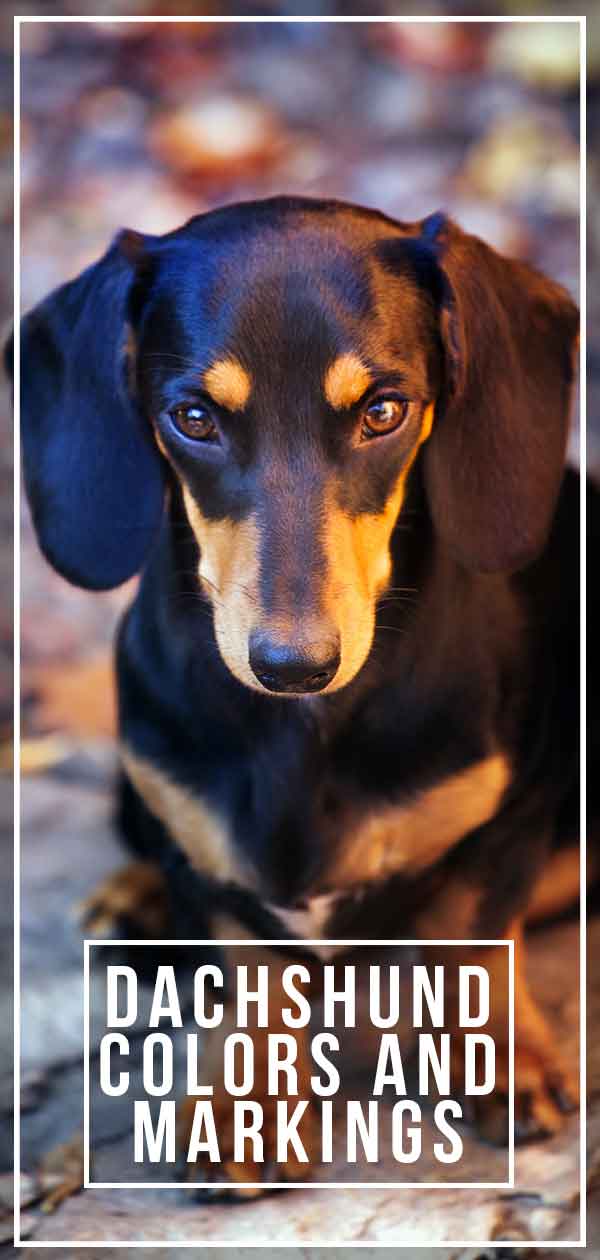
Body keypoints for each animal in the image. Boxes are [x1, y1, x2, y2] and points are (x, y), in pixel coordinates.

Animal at [16, 196, 592, 1189]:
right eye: (194, 417)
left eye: (384, 411)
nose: (293, 665)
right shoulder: (210, 870)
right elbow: (245, 968)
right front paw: (242, 1106)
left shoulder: (512, 814)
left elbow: (475, 934)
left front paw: (502, 1065)